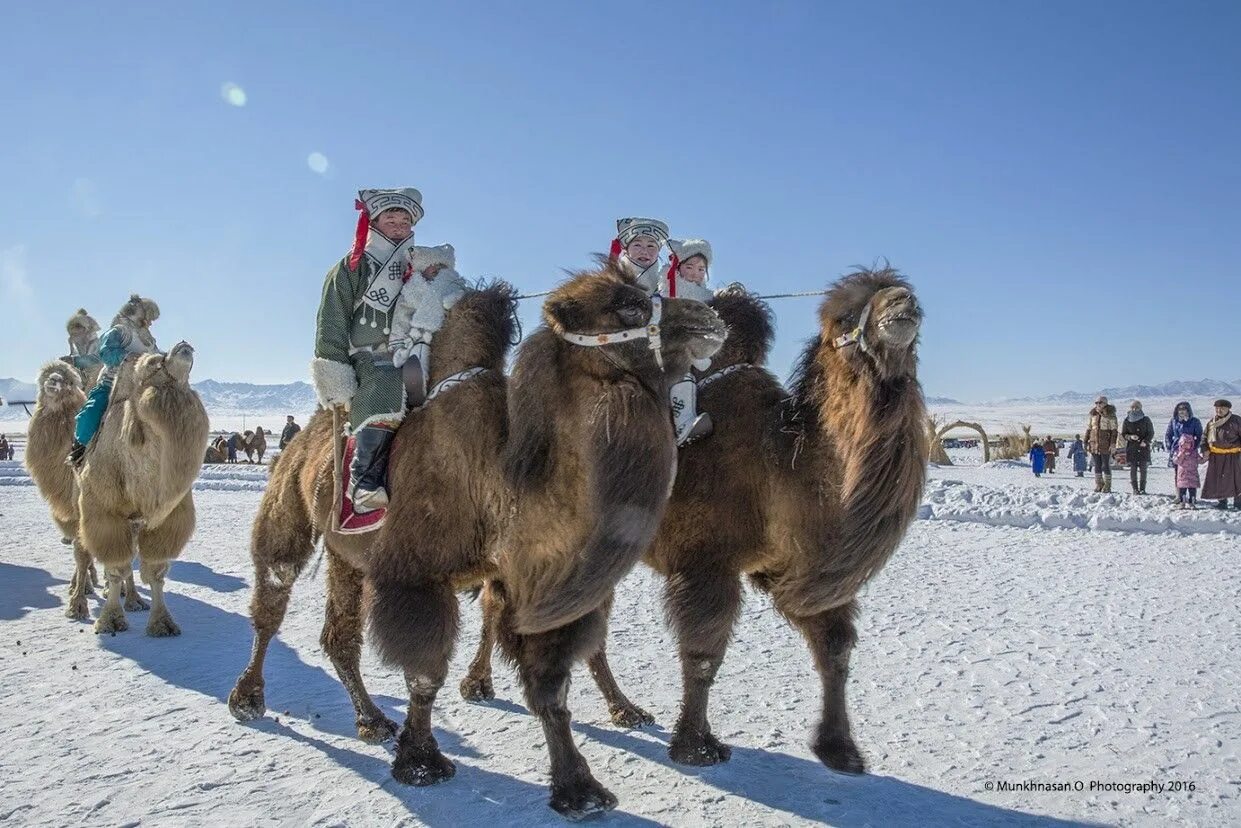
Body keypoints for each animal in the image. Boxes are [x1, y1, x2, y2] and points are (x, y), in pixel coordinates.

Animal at [77, 342, 209, 635]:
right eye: (153, 362)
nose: (184, 346)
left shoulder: (167, 518)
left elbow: (156, 572)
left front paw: (162, 623)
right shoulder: (102, 512)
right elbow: (116, 567)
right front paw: (110, 620)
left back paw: (134, 600)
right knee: (81, 552)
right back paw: (77, 604)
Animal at [228, 283, 518, 744]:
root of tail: (301, 438)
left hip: (346, 555)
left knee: (338, 635)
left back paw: (372, 720)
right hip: (290, 502)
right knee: (275, 587)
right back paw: (248, 700)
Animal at [367, 261, 729, 819]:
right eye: (627, 306)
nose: (707, 315)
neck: (506, 478)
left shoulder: (543, 579)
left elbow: (551, 688)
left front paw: (580, 789)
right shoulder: (416, 574)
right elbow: (424, 673)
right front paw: (421, 763)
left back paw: (619, 708)